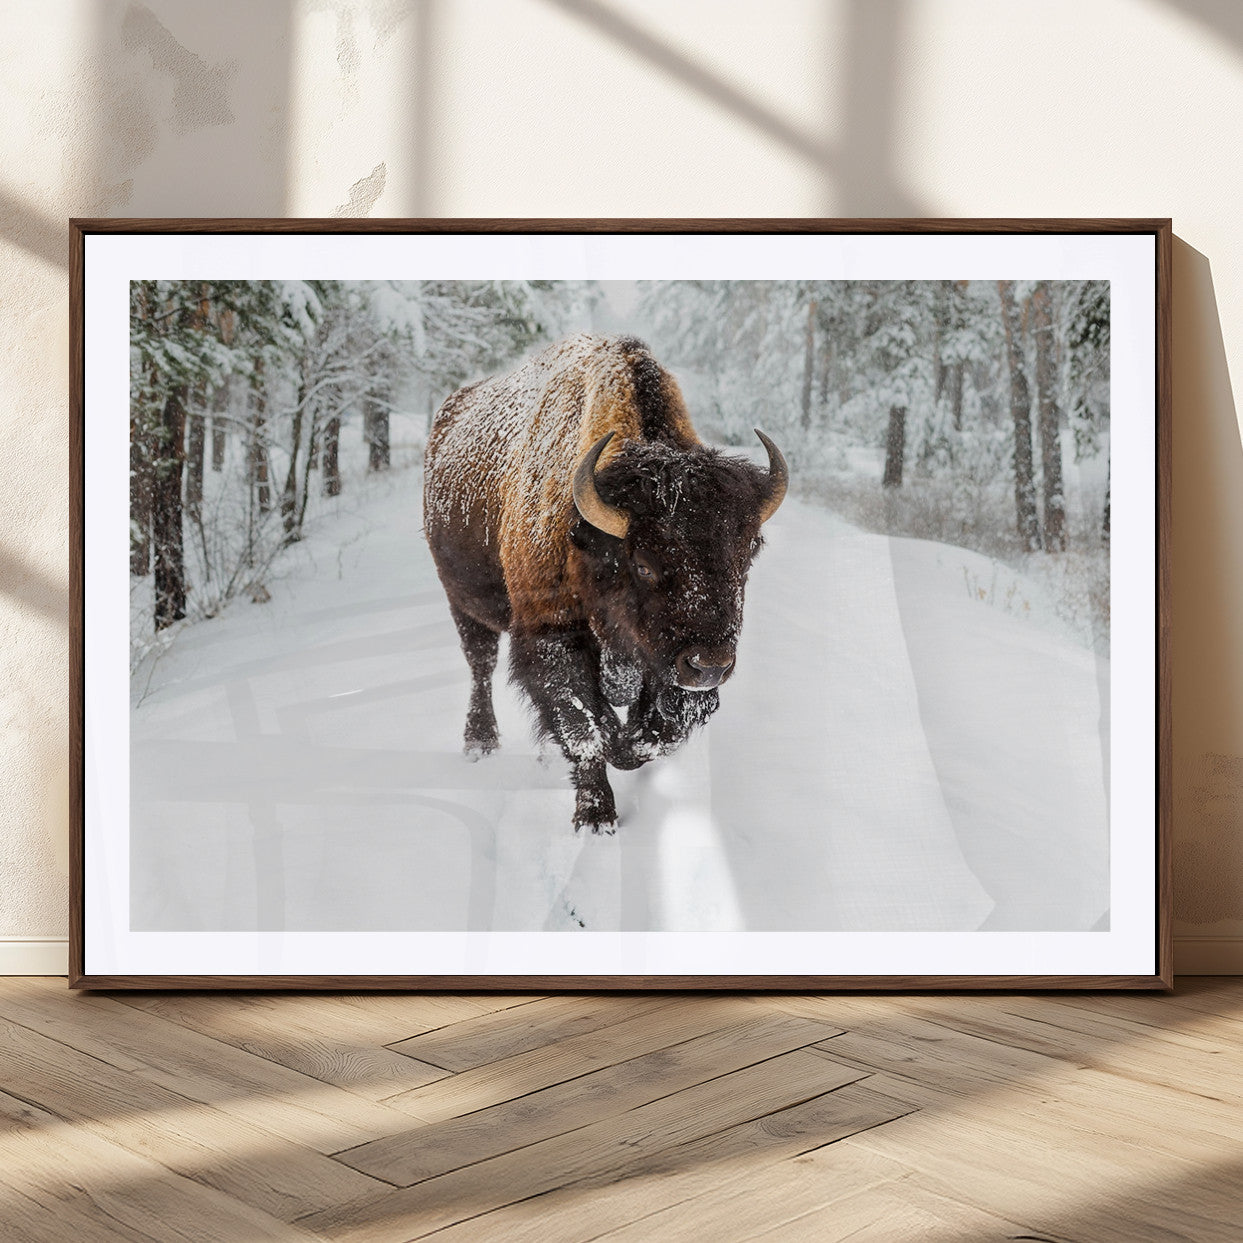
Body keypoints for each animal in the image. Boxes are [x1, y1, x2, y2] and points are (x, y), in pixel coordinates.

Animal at [423, 334, 787, 832]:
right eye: (644, 564)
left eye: (747, 553)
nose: (710, 665)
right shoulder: (553, 638)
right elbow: (587, 729)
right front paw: (595, 817)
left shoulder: (662, 664)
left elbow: (656, 733)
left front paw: (627, 745)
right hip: (461, 601)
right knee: (480, 664)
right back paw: (480, 743)